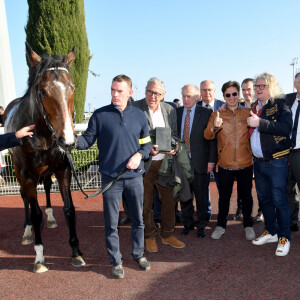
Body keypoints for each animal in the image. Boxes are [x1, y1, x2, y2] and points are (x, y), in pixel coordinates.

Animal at [3, 43, 85, 274]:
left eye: (72, 87)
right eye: (43, 90)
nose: (68, 141)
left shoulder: (63, 169)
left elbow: (69, 209)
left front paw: (76, 252)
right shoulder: (28, 175)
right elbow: (35, 211)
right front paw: (39, 258)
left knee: (47, 186)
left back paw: (50, 218)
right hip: (17, 170)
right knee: (24, 197)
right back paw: (27, 231)